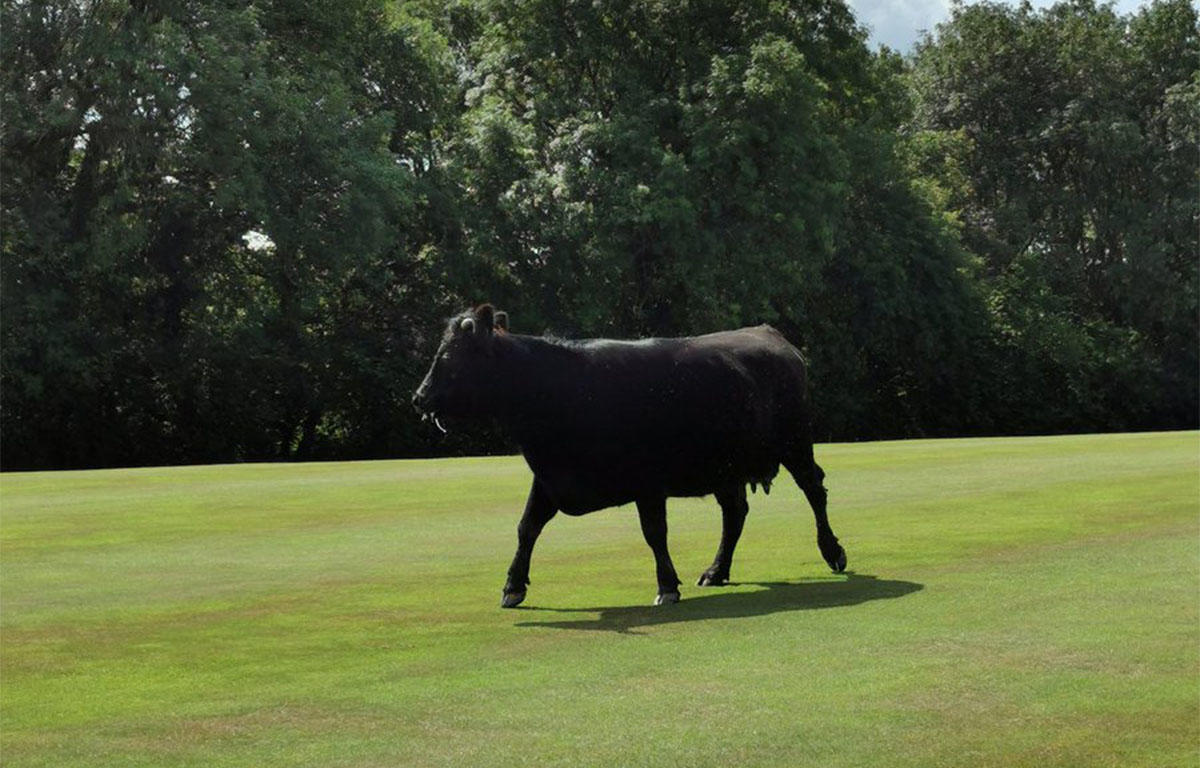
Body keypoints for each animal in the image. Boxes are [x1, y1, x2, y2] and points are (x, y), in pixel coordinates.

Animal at [412, 302, 844, 609]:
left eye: (447, 358)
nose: (419, 397)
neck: (556, 387)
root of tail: (770, 335)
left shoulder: (647, 480)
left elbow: (654, 533)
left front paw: (667, 585)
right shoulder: (550, 476)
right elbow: (526, 527)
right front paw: (513, 585)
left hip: (795, 443)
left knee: (813, 490)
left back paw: (833, 551)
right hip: (727, 468)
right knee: (735, 512)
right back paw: (716, 570)